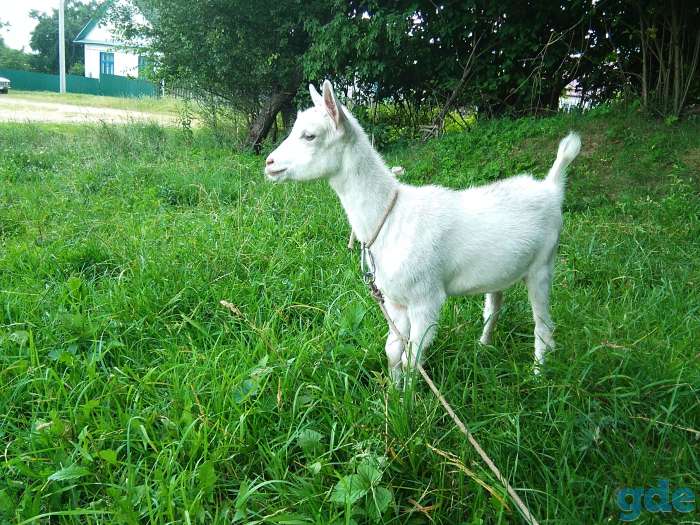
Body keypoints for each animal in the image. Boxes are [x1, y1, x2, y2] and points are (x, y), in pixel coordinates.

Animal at [264, 80, 581, 384]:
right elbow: (393, 350)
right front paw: (393, 394)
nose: (269, 163)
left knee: (543, 324)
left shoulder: (425, 299)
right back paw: (484, 347)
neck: (391, 217)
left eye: (310, 136)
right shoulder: (395, 300)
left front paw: (411, 400)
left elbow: (412, 358)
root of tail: (550, 188)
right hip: (502, 269)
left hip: (543, 263)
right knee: (494, 307)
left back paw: (538, 373)